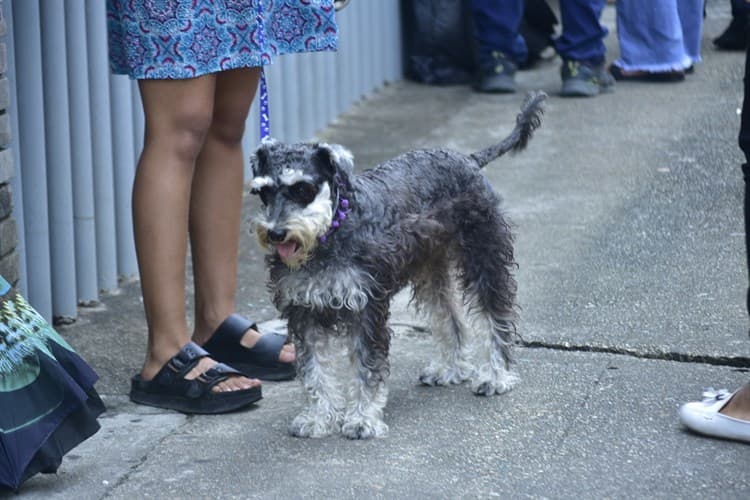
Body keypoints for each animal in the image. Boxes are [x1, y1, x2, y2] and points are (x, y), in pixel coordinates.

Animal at [250, 92, 548, 440]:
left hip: (484, 259)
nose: (276, 233)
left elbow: (366, 367)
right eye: (263, 191)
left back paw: (495, 376)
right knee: (449, 319)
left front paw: (362, 419)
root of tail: (469, 160)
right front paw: (318, 417)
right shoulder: (304, 313)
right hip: (431, 270)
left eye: (302, 188)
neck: (331, 230)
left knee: (494, 317)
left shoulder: (366, 309)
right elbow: (314, 371)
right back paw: (449, 369)